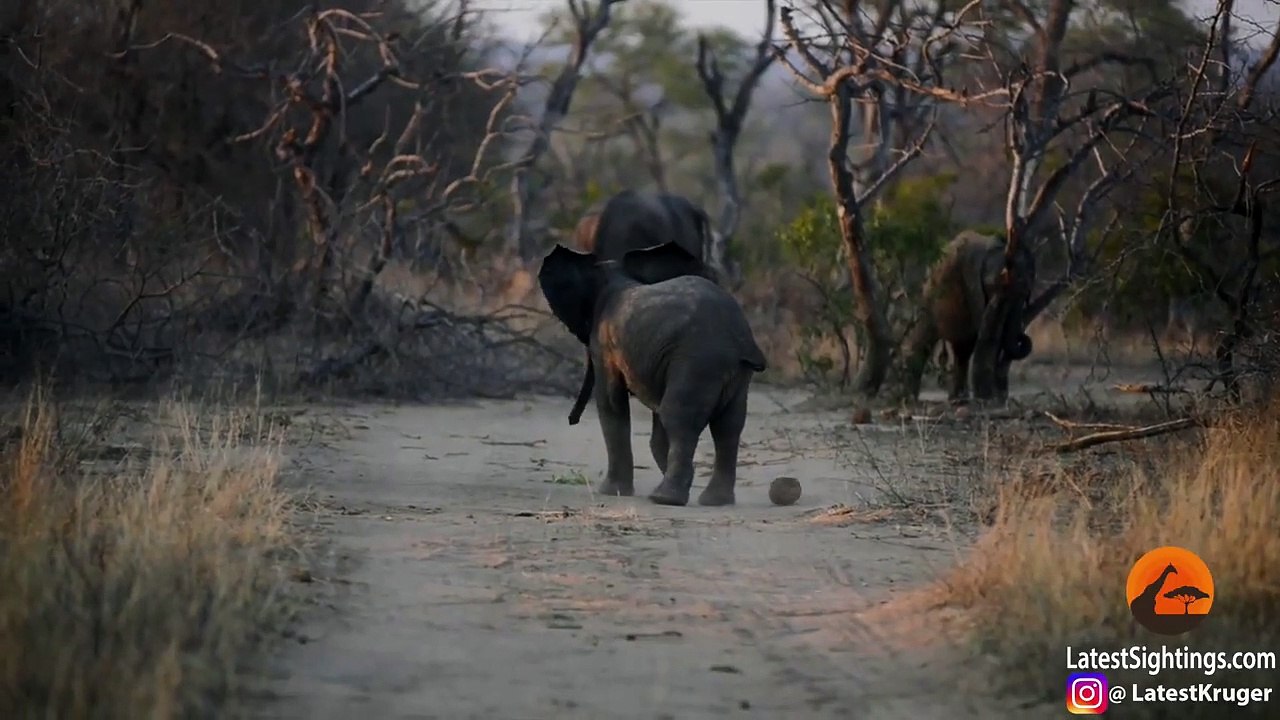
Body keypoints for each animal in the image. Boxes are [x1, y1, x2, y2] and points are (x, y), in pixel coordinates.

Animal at [537, 241, 767, 507]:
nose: (571, 419)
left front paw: (611, 492)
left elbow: (611, 403)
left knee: (679, 417)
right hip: (732, 373)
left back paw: (665, 498)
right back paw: (714, 501)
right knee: (728, 426)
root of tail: (740, 339)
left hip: (698, 362)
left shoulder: (605, 345)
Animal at [900, 230, 1036, 402]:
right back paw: (911, 398)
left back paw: (957, 398)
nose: (1023, 336)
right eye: (993, 287)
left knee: (962, 350)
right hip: (930, 298)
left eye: (1027, 294)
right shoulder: (972, 284)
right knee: (928, 337)